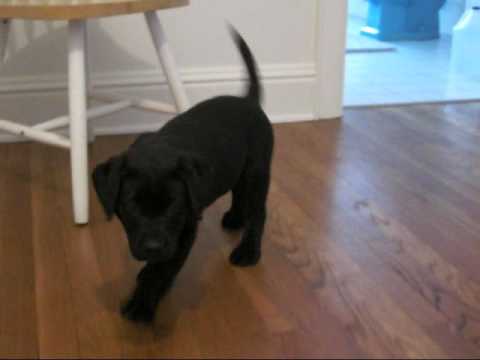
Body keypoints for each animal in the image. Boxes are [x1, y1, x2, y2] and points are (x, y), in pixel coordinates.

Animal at [93, 26, 274, 322]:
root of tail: (248, 101)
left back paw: (248, 251)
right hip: (238, 166)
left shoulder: (182, 231)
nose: (153, 246)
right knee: (238, 191)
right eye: (132, 205)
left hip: (258, 170)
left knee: (258, 210)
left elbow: (162, 269)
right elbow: (158, 265)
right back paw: (235, 218)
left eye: (173, 205)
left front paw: (142, 304)